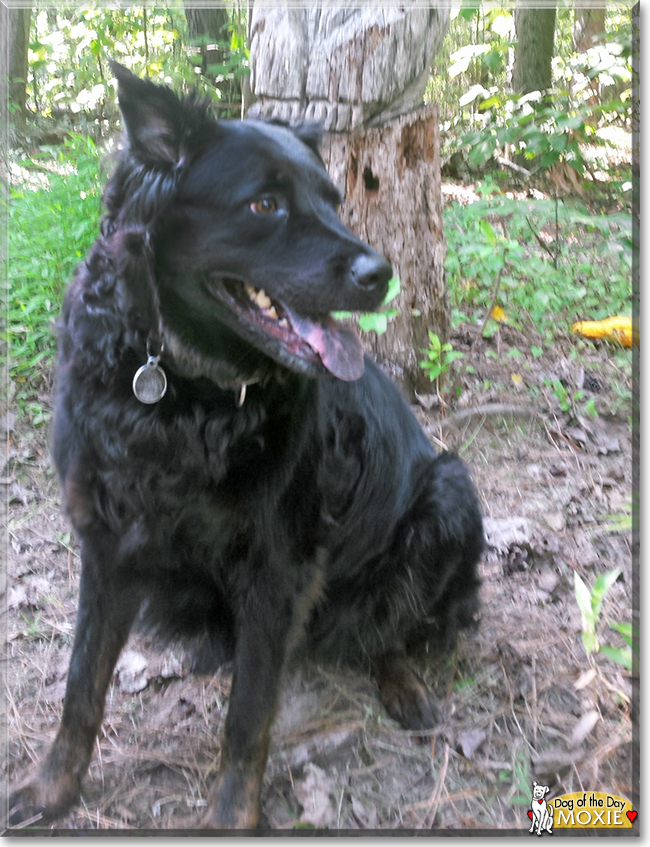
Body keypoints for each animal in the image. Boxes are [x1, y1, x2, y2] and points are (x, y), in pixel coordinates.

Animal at [7, 63, 478, 832]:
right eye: (264, 204)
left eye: (334, 201)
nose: (381, 274)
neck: (178, 389)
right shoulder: (106, 545)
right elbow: (81, 686)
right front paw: (52, 787)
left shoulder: (278, 569)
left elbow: (247, 720)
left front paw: (232, 818)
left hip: (448, 495)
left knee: (391, 628)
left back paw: (403, 684)